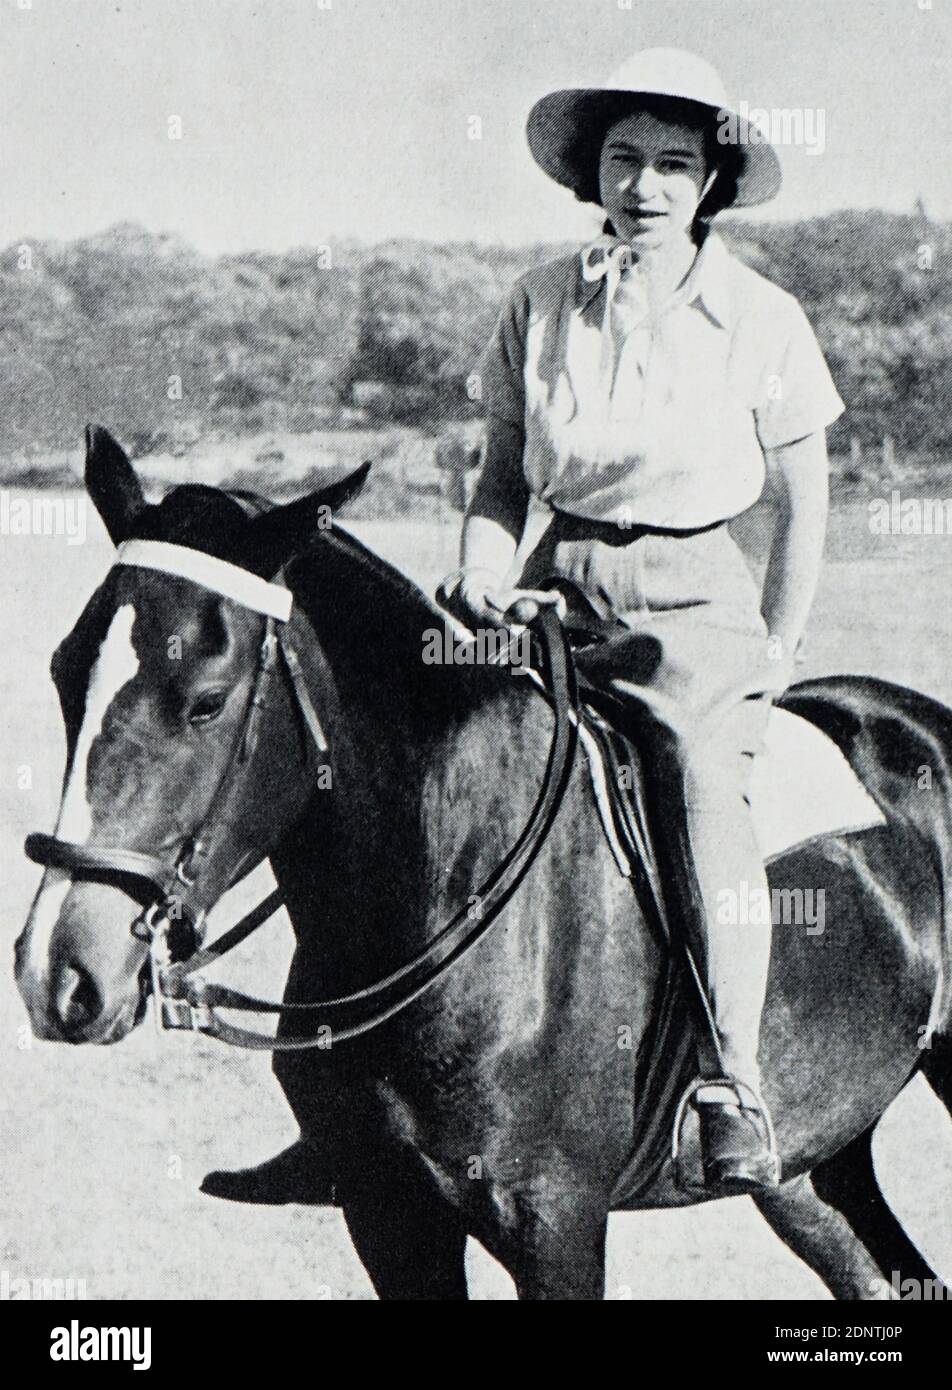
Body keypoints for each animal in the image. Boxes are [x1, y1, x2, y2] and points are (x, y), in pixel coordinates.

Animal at [13, 428, 950, 1295]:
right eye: (61, 671)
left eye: (206, 702)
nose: (58, 972)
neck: (445, 879)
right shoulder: (385, 1213)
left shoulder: (556, 1223)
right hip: (813, 1169)